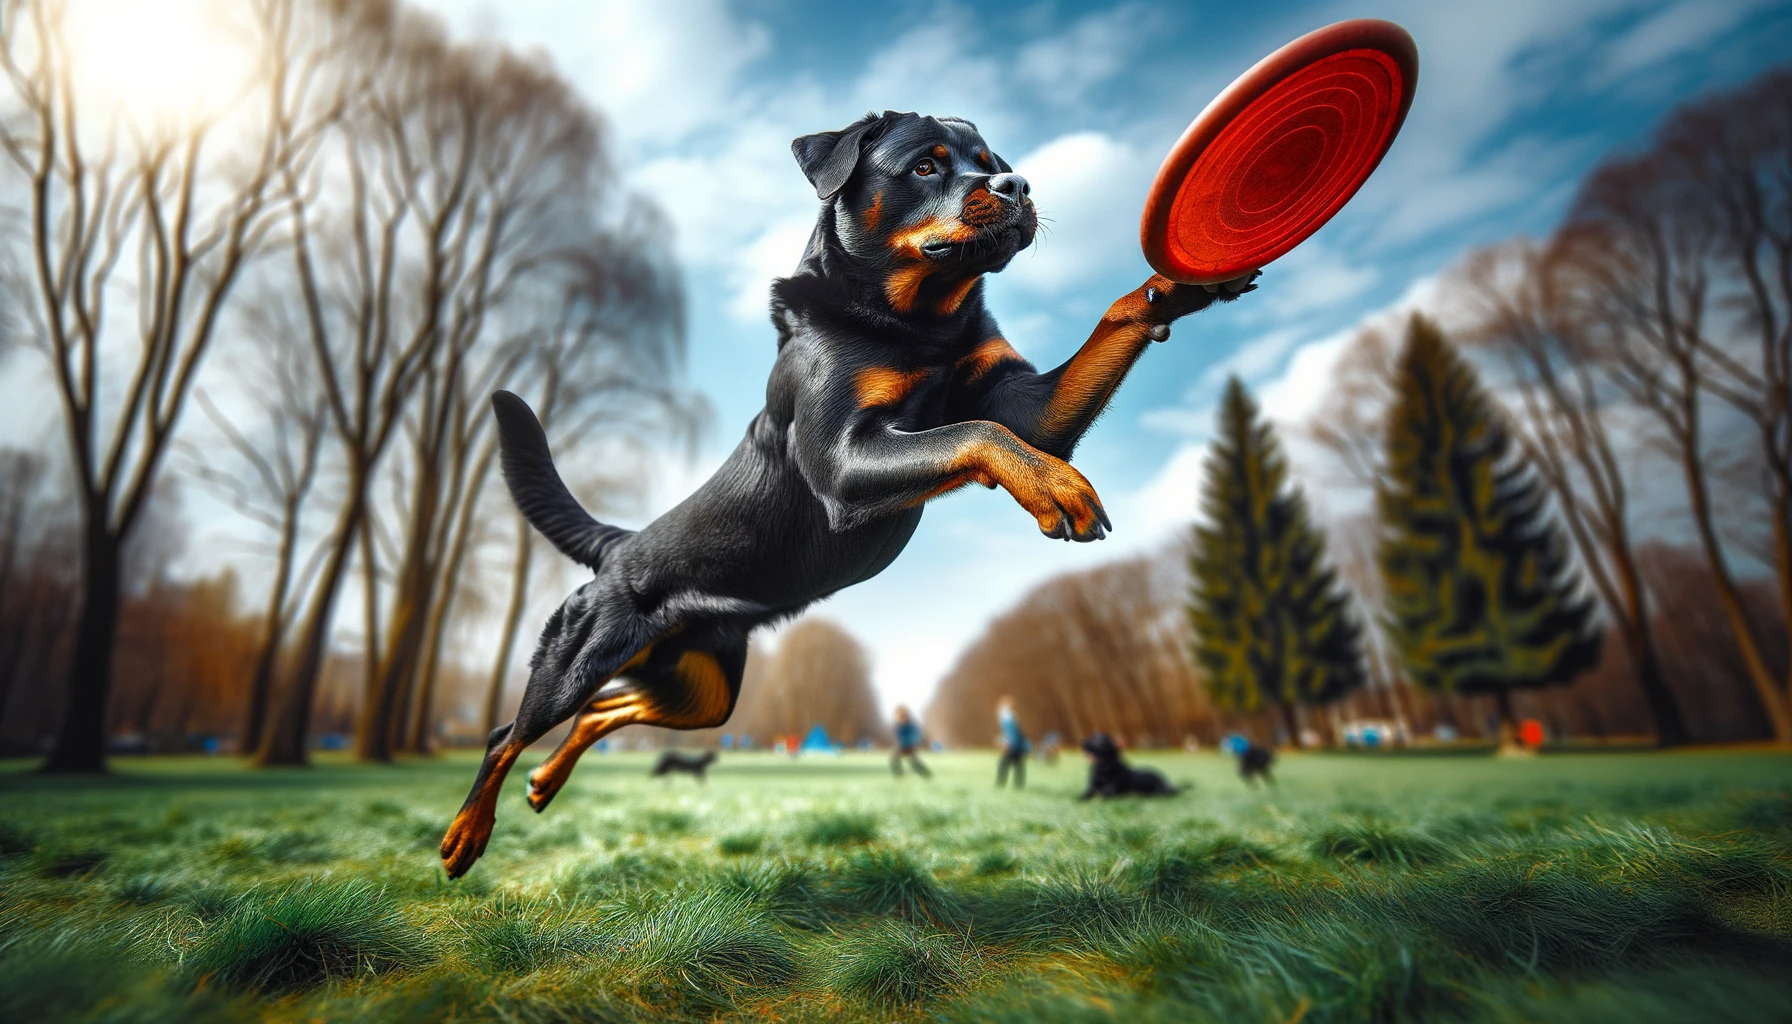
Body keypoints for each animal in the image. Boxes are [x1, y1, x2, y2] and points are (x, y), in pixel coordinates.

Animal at [444, 112, 1261, 882]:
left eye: (991, 163)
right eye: (928, 165)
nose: (1019, 185)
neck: (918, 322)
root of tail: (619, 545)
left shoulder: (1029, 408)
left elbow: (1078, 349)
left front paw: (1178, 286)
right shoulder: (844, 459)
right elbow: (974, 432)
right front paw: (1057, 488)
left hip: (700, 688)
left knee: (606, 710)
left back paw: (546, 783)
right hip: (579, 654)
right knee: (509, 733)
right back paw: (464, 836)